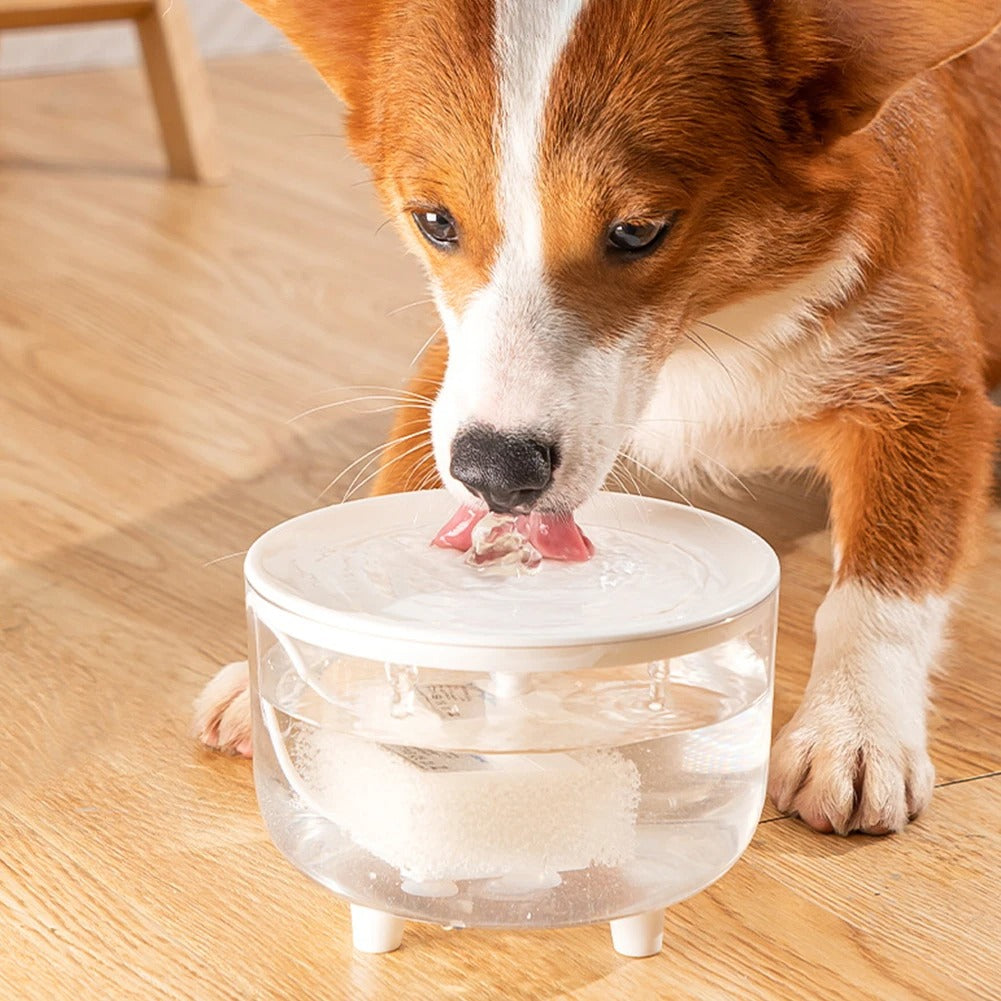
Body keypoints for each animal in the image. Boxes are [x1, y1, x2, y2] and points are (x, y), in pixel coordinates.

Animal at [193, 1, 1001, 836]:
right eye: (434, 222)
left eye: (638, 232)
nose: (496, 473)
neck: (703, 330)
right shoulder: (449, 372)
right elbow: (404, 487)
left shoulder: (925, 391)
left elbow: (879, 590)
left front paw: (853, 728)